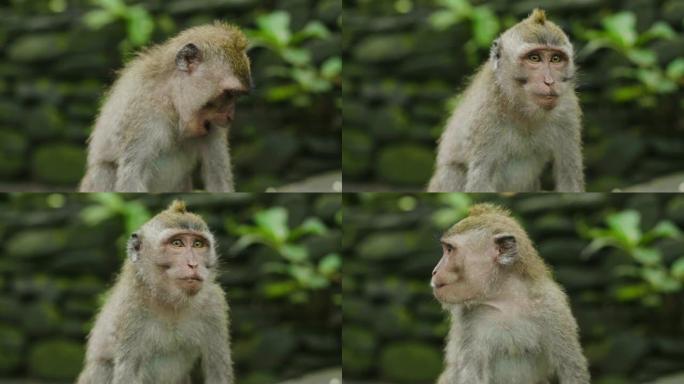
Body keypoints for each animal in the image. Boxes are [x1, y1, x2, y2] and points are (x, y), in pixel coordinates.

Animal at [79, 21, 251, 192]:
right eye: (229, 93)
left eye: (236, 95)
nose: (230, 115)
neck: (173, 103)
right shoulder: (143, 113)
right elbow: (132, 178)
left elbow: (218, 178)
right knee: (104, 170)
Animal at [79, 201, 234, 384]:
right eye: (177, 243)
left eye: (198, 244)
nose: (193, 264)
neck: (170, 301)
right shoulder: (131, 310)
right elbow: (128, 374)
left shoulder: (214, 304)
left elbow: (217, 372)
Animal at [428, 9, 584, 192]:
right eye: (534, 58)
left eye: (556, 59)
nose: (550, 81)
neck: (521, 108)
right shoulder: (487, 114)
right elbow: (481, 183)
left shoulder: (567, 110)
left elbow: (569, 180)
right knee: (453, 173)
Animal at [432, 202, 588, 382]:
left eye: (450, 250)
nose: (434, 271)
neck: (506, 299)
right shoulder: (467, 319)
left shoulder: (553, 307)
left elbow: (571, 368)